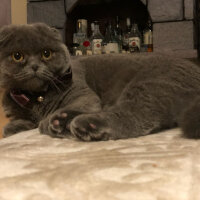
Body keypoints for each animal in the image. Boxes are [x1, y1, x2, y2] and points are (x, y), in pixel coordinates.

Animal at [0, 22, 200, 140]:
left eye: (46, 53)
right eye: (17, 56)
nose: (34, 66)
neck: (36, 97)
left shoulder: (82, 93)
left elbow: (81, 102)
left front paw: (44, 123)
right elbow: (16, 123)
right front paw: (16, 127)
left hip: (150, 85)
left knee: (133, 117)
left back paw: (74, 123)